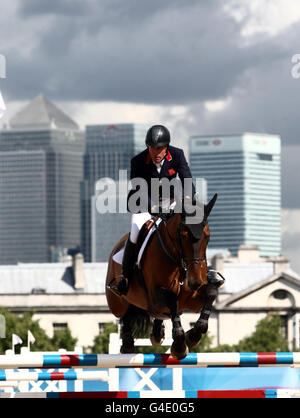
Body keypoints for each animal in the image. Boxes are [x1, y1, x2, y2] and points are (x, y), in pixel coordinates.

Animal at [105, 193, 218, 360]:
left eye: (207, 236)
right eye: (183, 236)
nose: (195, 281)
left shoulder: (192, 299)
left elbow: (211, 292)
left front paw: (193, 337)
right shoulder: (155, 298)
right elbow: (172, 300)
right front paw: (179, 346)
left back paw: (157, 333)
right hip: (117, 304)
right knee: (124, 313)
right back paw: (127, 343)